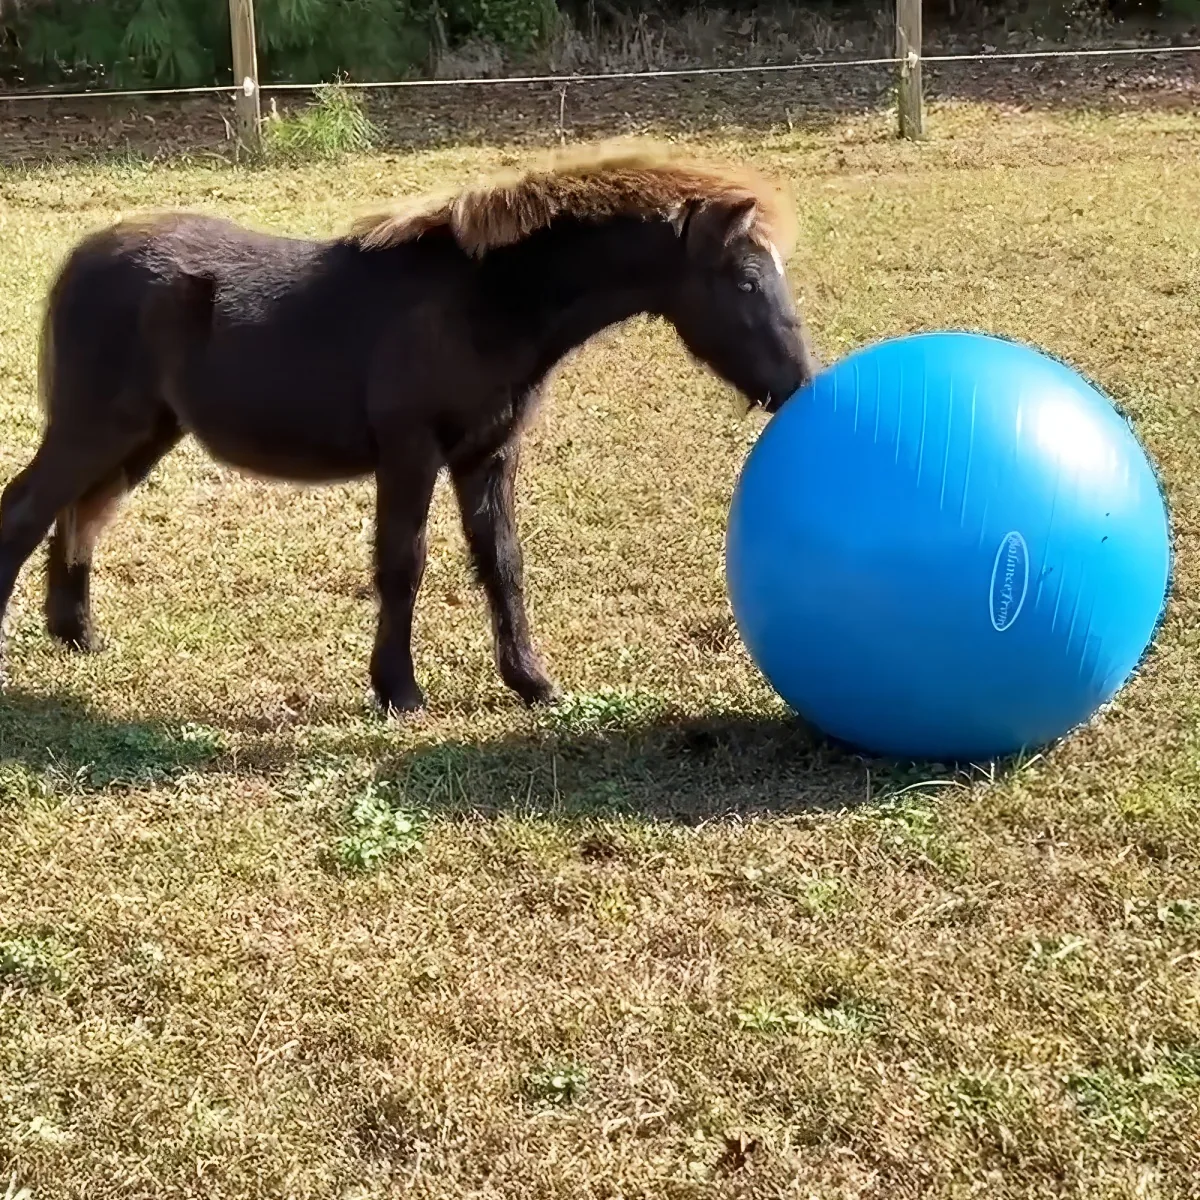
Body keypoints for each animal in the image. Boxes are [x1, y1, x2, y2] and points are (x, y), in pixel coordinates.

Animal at [0, 145, 821, 714]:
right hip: (95, 426)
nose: (799, 384)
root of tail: (82, 256)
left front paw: (532, 682)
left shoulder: (488, 455)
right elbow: (404, 563)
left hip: (143, 433)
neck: (482, 302)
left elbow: (502, 563)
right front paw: (398, 690)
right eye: (746, 279)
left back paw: (78, 633)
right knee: (28, 510)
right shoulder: (410, 451)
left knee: (81, 513)